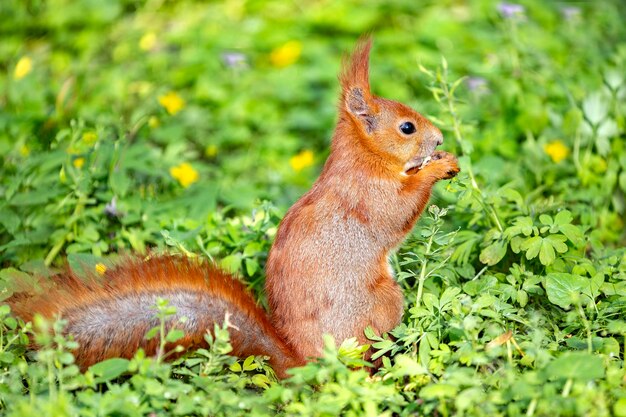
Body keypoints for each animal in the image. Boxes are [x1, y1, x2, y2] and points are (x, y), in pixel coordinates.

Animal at [4, 38, 458, 376]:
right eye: (407, 127)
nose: (438, 137)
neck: (364, 157)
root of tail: (300, 361)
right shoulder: (368, 194)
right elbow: (398, 209)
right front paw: (439, 167)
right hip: (382, 304)